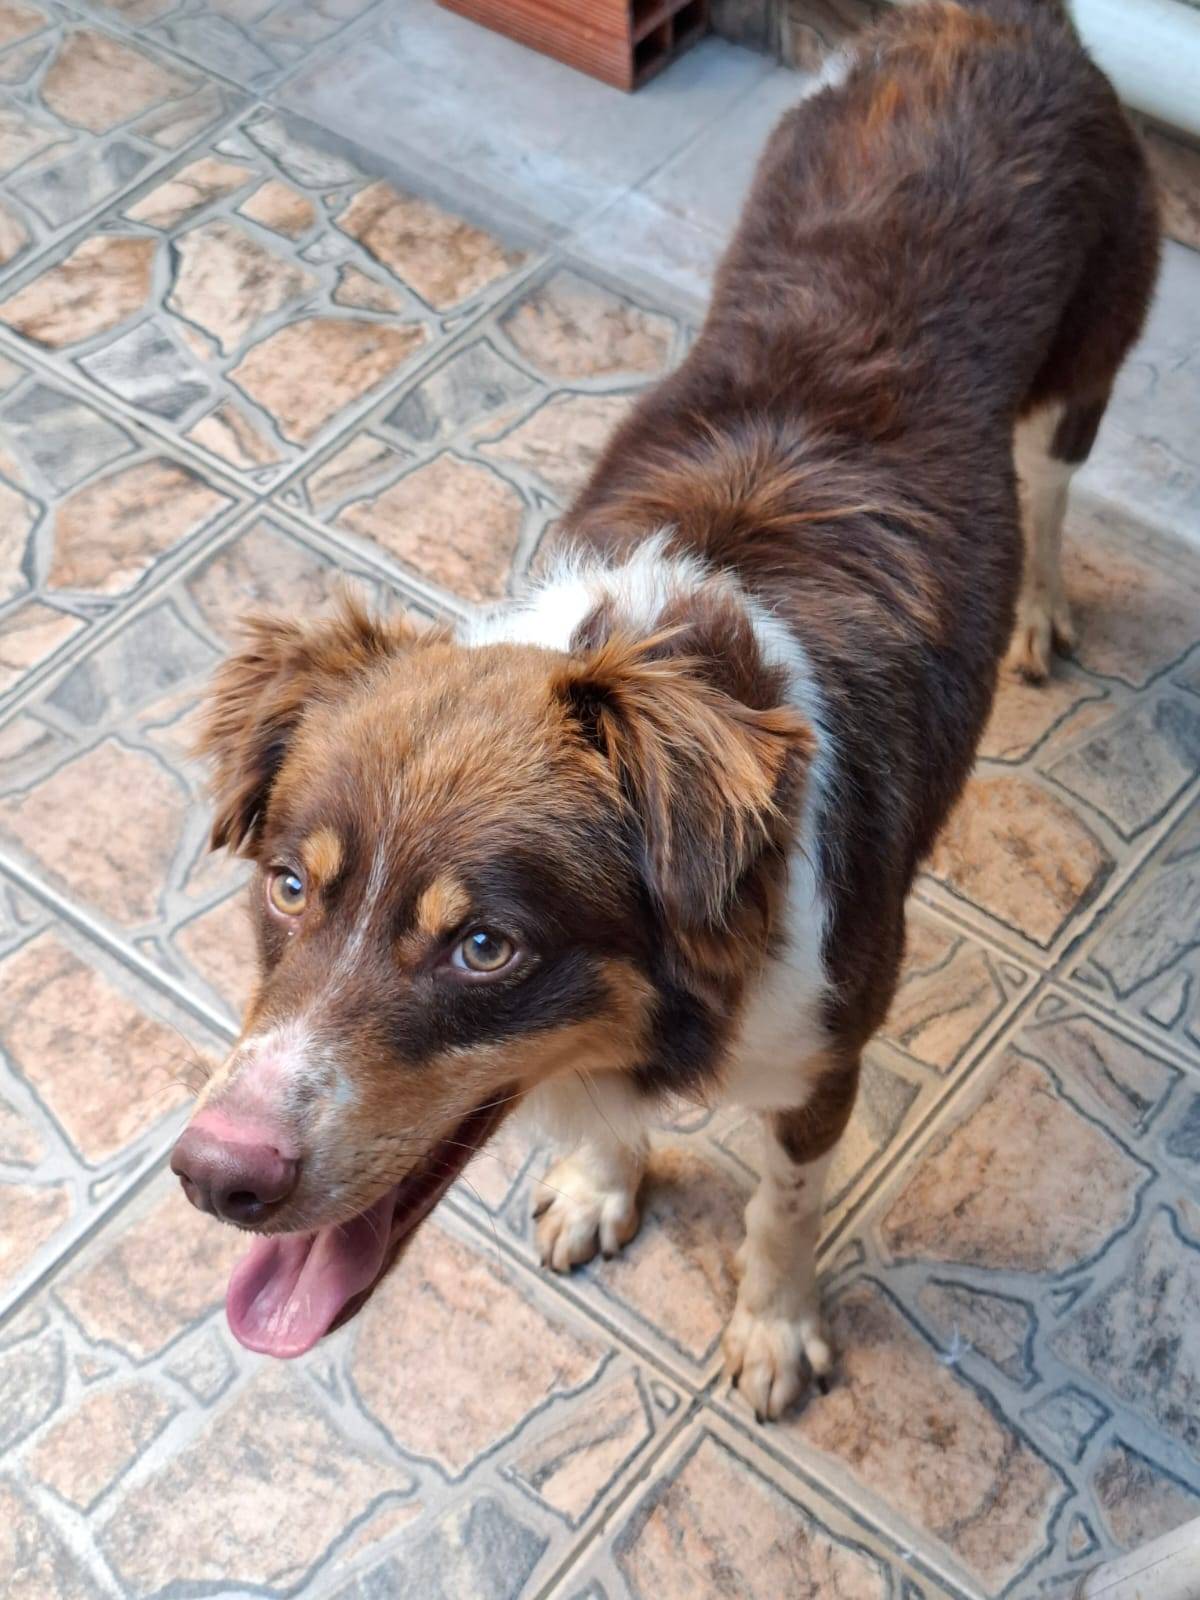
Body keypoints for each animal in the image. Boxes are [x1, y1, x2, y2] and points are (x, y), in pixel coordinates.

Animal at [170, 0, 1158, 1420]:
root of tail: (982, 22)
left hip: (1094, 343)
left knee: (1059, 478)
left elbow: (785, 1204)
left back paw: (1041, 608)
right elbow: (613, 1132)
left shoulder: (828, 1048)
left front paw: (774, 1328)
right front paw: (600, 1182)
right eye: (290, 888)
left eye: (486, 949)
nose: (213, 1176)